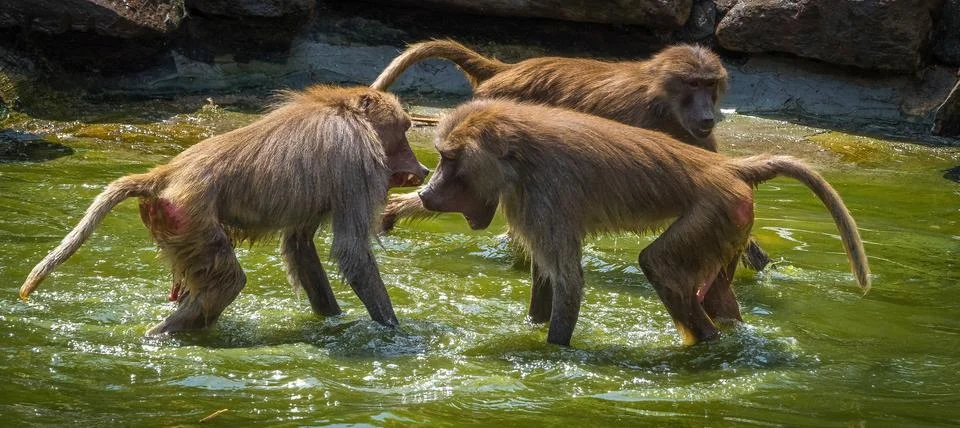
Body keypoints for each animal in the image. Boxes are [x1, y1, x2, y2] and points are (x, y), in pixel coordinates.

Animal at [19, 85, 430, 335]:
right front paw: (394, 331)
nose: (422, 169)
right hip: (189, 216)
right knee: (228, 282)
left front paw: (331, 320)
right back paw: (158, 335)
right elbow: (351, 252)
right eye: (402, 131)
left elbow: (300, 245)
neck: (345, 111)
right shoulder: (358, 162)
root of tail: (167, 173)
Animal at [373, 39, 772, 272]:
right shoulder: (639, 119)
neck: (661, 101)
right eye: (693, 84)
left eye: (710, 84)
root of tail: (506, 70)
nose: (707, 116)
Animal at [415, 99, 870, 347]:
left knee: (659, 265)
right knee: (717, 295)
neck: (517, 157)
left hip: (717, 208)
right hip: (731, 222)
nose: (425, 193)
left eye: (450, 159)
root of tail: (728, 167)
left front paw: (553, 352)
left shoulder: (545, 198)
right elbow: (545, 279)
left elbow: (568, 283)